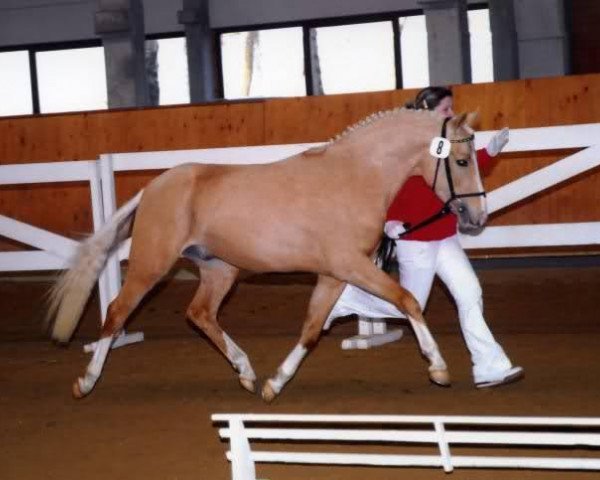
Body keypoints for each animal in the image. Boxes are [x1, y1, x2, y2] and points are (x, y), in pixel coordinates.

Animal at [48, 108, 488, 402]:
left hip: (220, 269)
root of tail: (153, 187)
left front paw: (274, 384)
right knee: (117, 313)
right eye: (461, 160)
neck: (355, 176)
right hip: (150, 265)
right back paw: (85, 382)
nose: (477, 216)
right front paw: (438, 367)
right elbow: (408, 300)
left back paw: (245, 371)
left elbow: (311, 329)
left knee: (200, 314)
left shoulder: (334, 275)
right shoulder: (352, 266)